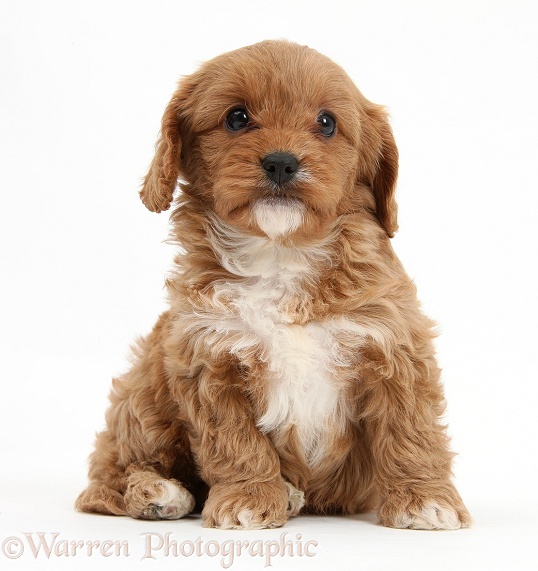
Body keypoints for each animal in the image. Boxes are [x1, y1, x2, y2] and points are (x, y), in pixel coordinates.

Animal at [75, 40, 468, 532]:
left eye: (326, 123)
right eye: (237, 118)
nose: (282, 162)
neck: (280, 256)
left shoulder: (395, 347)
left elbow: (411, 430)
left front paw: (423, 498)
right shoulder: (207, 360)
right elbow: (236, 442)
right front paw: (248, 497)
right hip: (143, 396)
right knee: (106, 478)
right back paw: (160, 492)